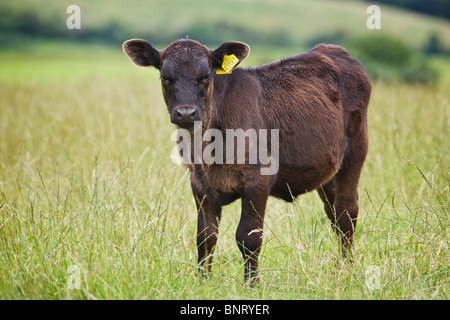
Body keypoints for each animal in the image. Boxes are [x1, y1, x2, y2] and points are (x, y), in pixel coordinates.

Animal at [122, 38, 370, 284]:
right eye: (166, 77)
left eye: (205, 76)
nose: (185, 113)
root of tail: (334, 49)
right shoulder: (199, 183)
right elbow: (205, 236)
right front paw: (204, 281)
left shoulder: (258, 179)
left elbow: (248, 237)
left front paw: (251, 283)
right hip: (328, 170)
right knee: (333, 214)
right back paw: (340, 268)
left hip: (356, 152)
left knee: (346, 212)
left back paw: (348, 270)